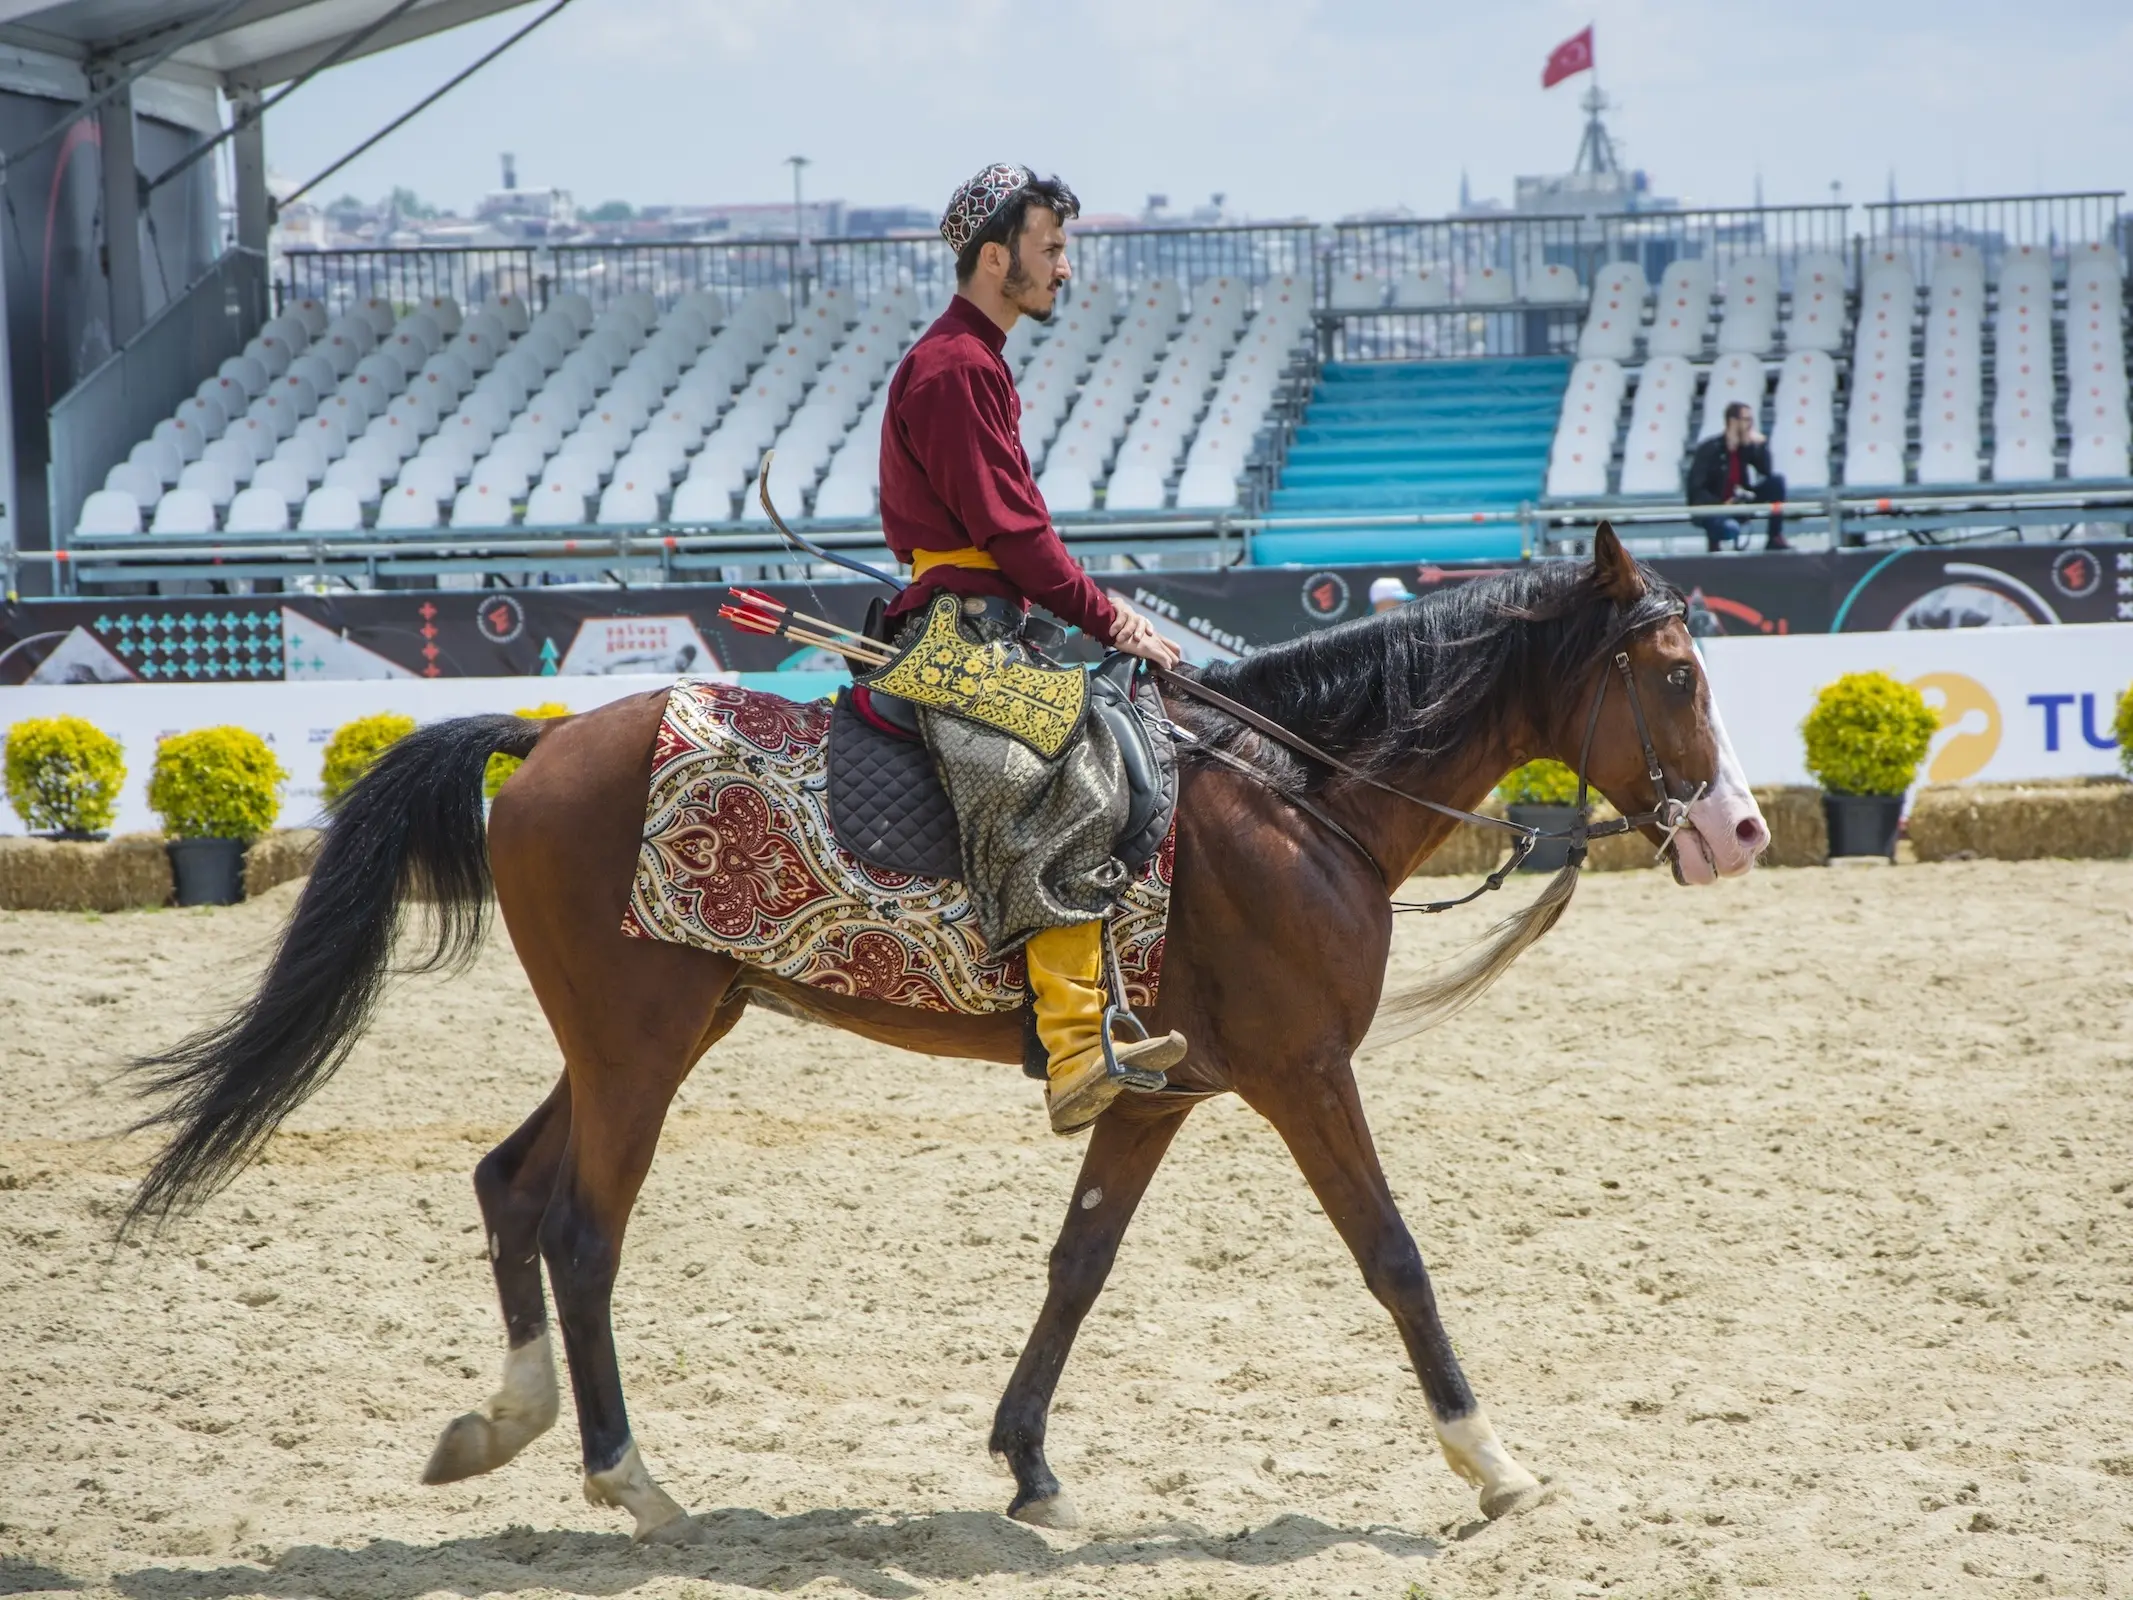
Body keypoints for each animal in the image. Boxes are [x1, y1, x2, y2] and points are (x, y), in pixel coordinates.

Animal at [129, 533, 1766, 1544]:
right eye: (1676, 675)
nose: (1743, 831)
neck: (1293, 798)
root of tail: (544, 739)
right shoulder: (1306, 1078)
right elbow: (1395, 1257)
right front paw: (1492, 1463)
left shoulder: (1161, 1092)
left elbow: (1079, 1262)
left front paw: (1030, 1466)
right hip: (639, 1053)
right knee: (584, 1228)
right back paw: (631, 1481)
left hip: (642, 1034)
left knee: (511, 1185)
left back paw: (506, 1422)